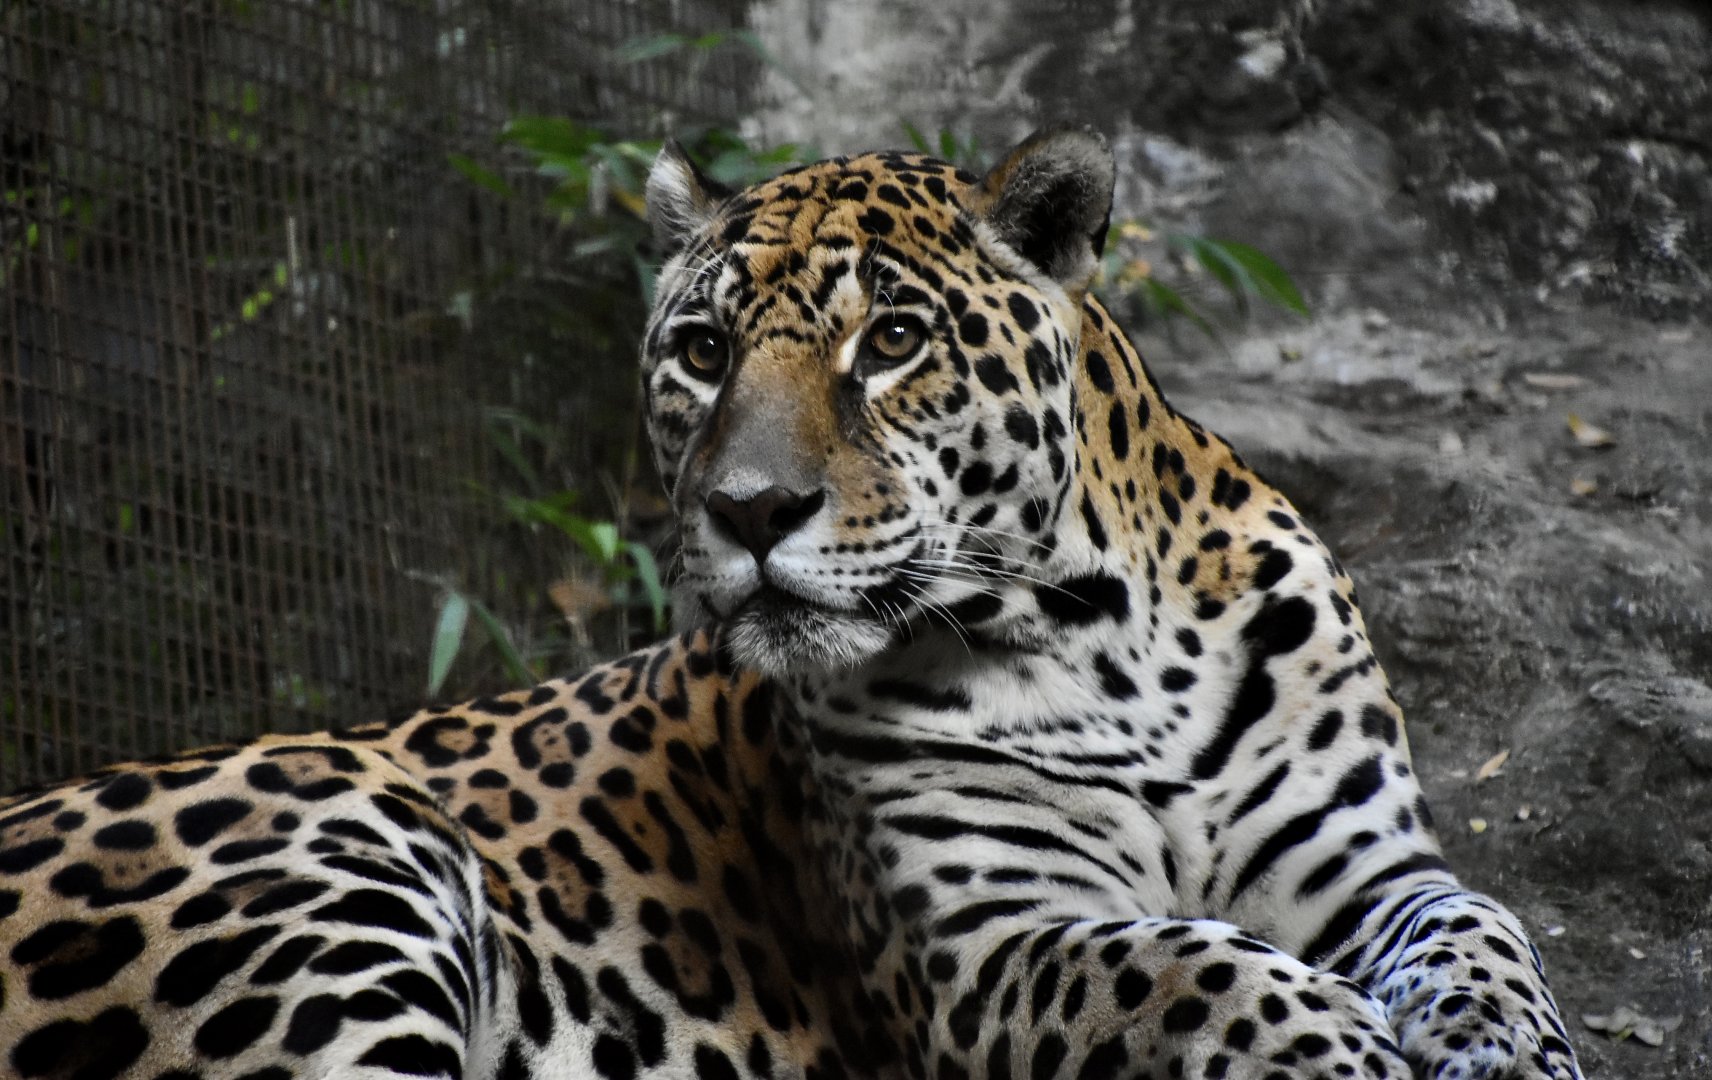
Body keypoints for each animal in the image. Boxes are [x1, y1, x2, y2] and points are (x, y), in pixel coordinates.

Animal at [0, 126, 1580, 1080]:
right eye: (700, 350)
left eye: (892, 341)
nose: (750, 512)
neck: (1104, 643)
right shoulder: (985, 947)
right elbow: (1197, 971)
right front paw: (1356, 1050)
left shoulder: (1368, 869)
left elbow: (1484, 934)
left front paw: (1502, 1050)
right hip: (339, 857)